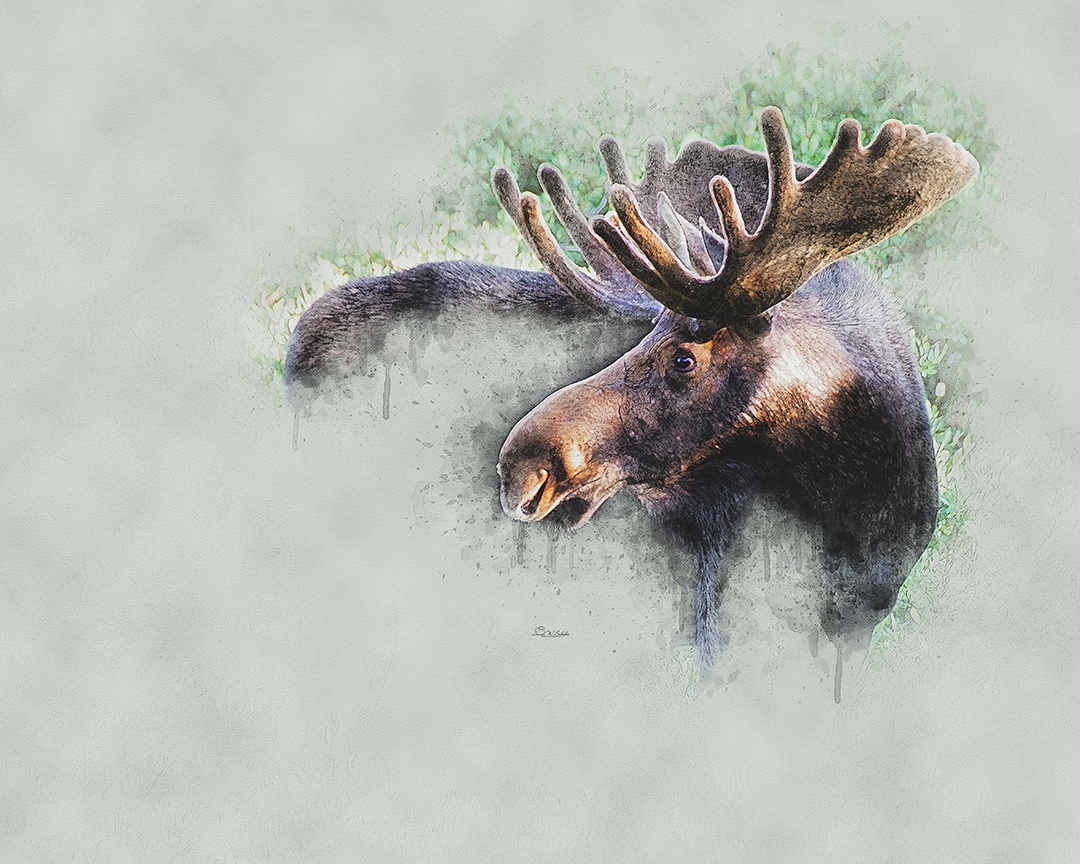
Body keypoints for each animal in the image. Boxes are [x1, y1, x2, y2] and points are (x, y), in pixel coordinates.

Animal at [285, 107, 978, 687]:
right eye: (645, 334)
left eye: (683, 358)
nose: (520, 467)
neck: (857, 505)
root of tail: (295, 350)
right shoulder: (719, 610)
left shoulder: (859, 620)